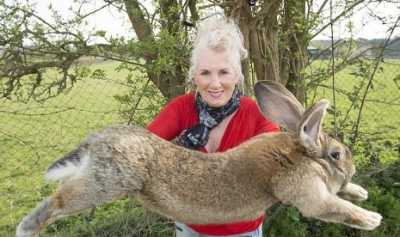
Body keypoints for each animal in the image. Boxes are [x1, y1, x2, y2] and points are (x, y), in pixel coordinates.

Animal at [17, 80, 382, 236]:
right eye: (336, 154)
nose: (351, 168)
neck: (297, 153)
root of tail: (97, 141)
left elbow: (341, 195)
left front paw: (360, 192)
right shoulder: (307, 193)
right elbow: (333, 207)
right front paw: (371, 219)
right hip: (106, 183)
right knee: (58, 201)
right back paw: (26, 228)